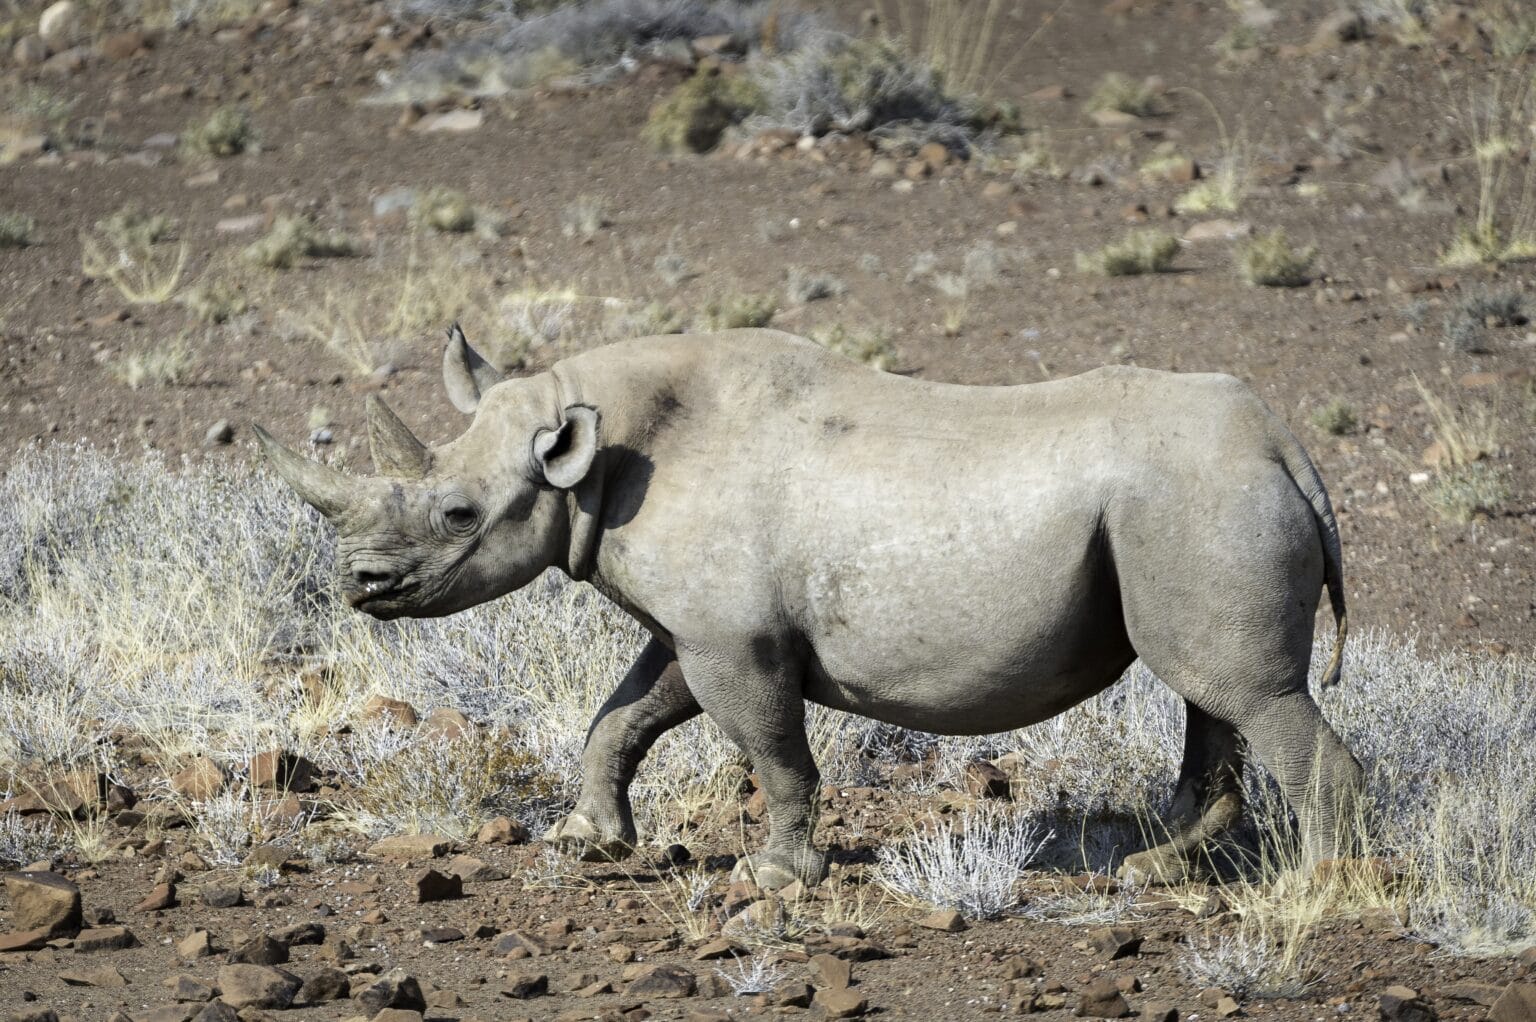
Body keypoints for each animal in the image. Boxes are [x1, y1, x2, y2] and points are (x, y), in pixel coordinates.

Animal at [255, 326, 1362, 889]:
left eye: (456, 513)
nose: (360, 585)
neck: (597, 450)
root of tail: (1285, 445)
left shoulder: (735, 640)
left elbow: (773, 749)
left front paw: (778, 876)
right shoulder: (695, 628)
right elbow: (624, 714)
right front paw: (588, 840)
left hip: (1200, 500)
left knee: (1245, 691)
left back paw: (1309, 892)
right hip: (1187, 505)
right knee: (1212, 693)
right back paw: (1151, 870)